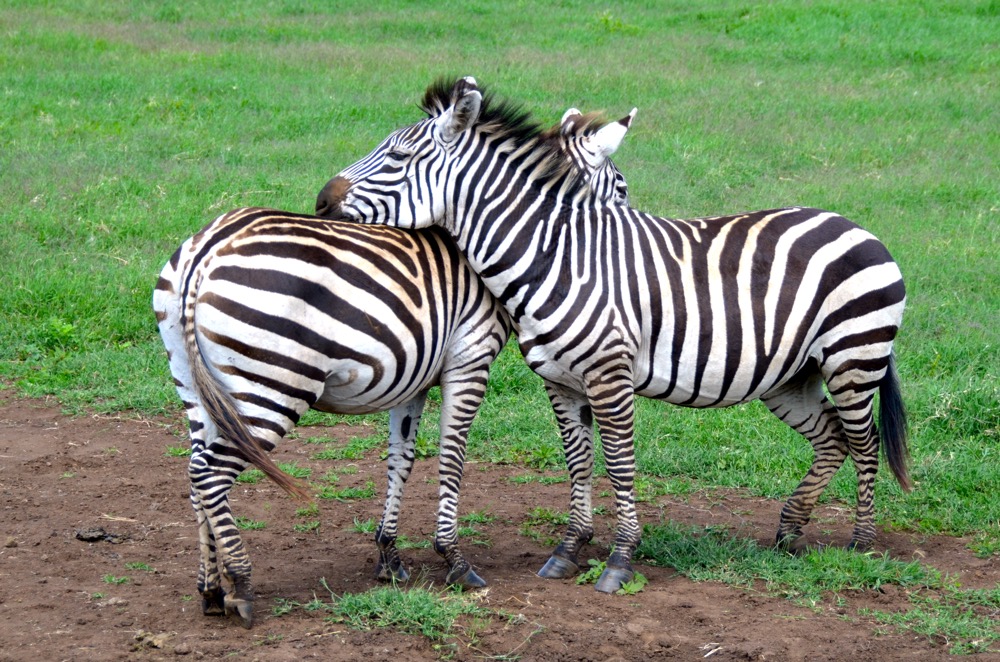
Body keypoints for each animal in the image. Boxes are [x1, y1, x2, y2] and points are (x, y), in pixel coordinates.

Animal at [152, 109, 628, 628]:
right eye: (621, 190)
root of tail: (208, 246)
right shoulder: (470, 358)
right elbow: (452, 456)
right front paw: (454, 560)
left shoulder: (412, 375)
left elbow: (401, 460)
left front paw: (390, 558)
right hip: (271, 385)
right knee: (211, 473)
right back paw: (240, 585)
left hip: (196, 385)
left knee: (195, 470)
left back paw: (210, 589)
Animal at [316, 78, 912, 596]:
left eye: (396, 158)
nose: (320, 200)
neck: (556, 256)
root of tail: (853, 224)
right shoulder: (559, 380)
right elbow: (578, 461)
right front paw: (570, 550)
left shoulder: (610, 374)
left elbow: (620, 463)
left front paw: (621, 560)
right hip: (791, 376)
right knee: (832, 438)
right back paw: (789, 533)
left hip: (853, 356)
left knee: (865, 442)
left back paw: (861, 542)